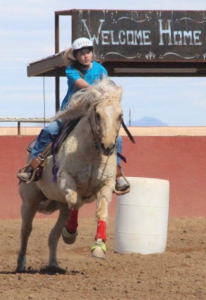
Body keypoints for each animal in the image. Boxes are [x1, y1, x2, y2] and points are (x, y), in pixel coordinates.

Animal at [16, 77, 123, 272]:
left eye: (120, 115)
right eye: (97, 114)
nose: (108, 146)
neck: (92, 152)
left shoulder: (106, 185)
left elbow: (101, 212)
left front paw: (98, 247)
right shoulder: (65, 179)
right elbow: (76, 201)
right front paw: (71, 232)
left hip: (58, 203)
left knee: (53, 235)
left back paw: (53, 264)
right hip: (29, 201)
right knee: (26, 231)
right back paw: (21, 263)